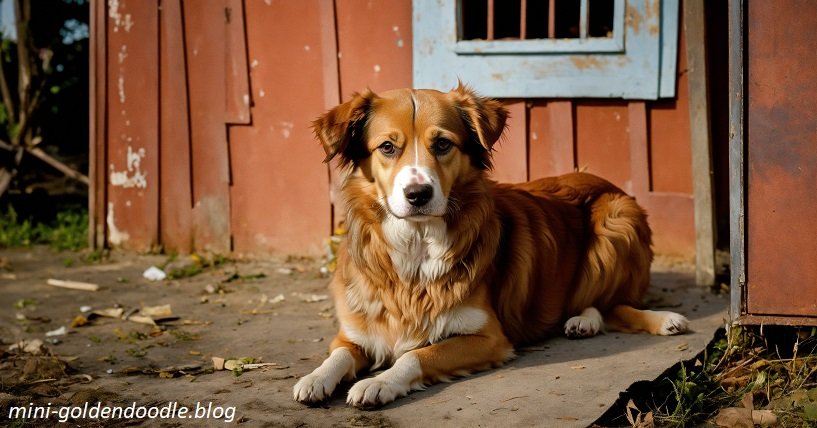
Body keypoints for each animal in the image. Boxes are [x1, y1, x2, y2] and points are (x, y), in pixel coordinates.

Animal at [294, 83, 688, 408]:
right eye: (388, 147)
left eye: (443, 144)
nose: (418, 194)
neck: (417, 250)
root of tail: (609, 182)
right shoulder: (354, 334)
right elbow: (339, 355)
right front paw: (315, 379)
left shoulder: (488, 337)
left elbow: (415, 355)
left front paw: (379, 383)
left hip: (616, 221)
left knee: (612, 303)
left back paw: (648, 320)